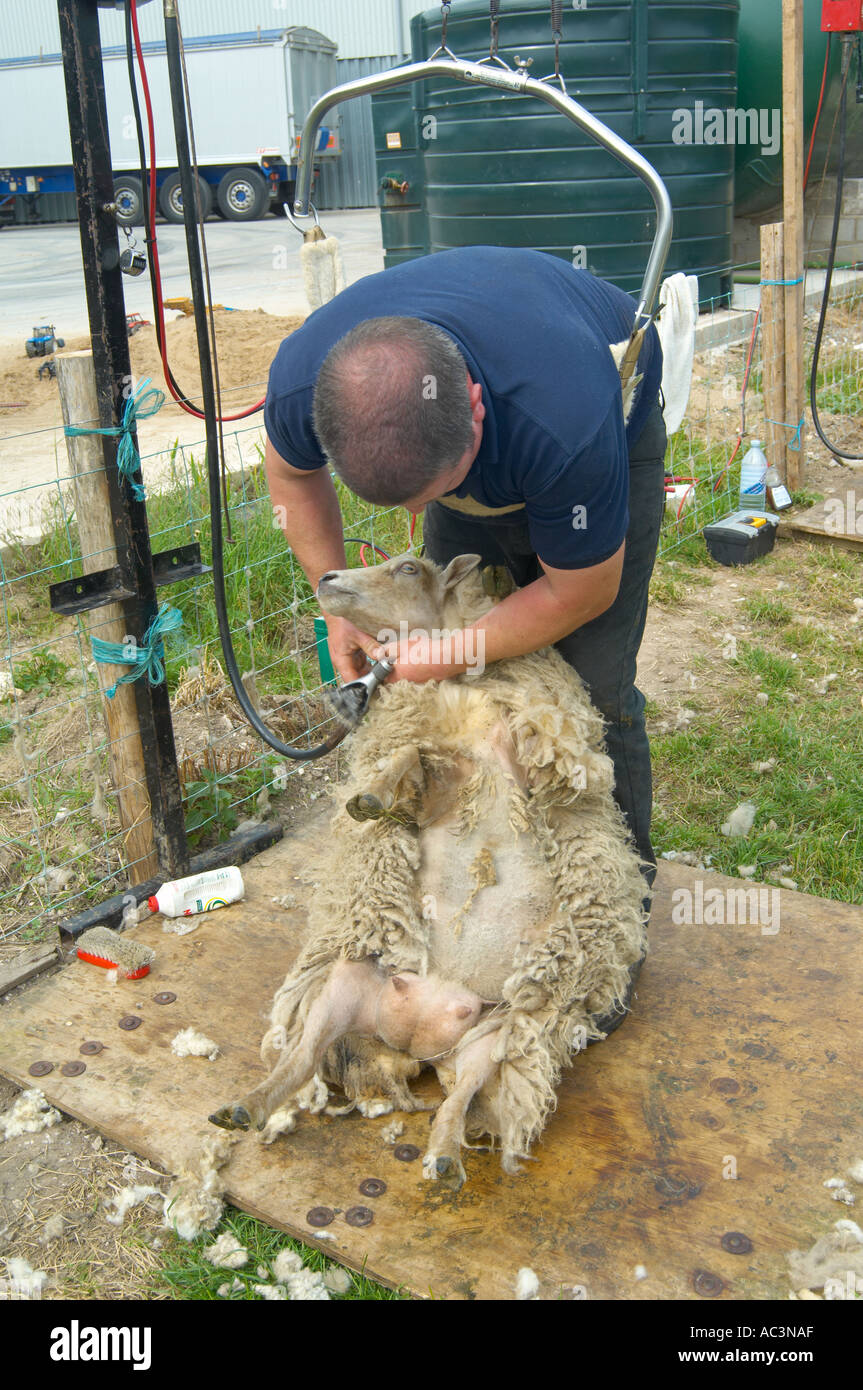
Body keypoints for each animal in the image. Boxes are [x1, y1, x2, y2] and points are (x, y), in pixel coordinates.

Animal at [210, 552, 648, 1187]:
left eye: (409, 568)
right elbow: (415, 756)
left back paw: (442, 1157)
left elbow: (442, 753)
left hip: (499, 1032)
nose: (327, 580)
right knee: (302, 1058)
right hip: (347, 983)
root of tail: (411, 1047)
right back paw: (246, 1106)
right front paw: (370, 798)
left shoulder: (523, 761)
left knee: (458, 1099)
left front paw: (372, 796)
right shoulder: (445, 783)